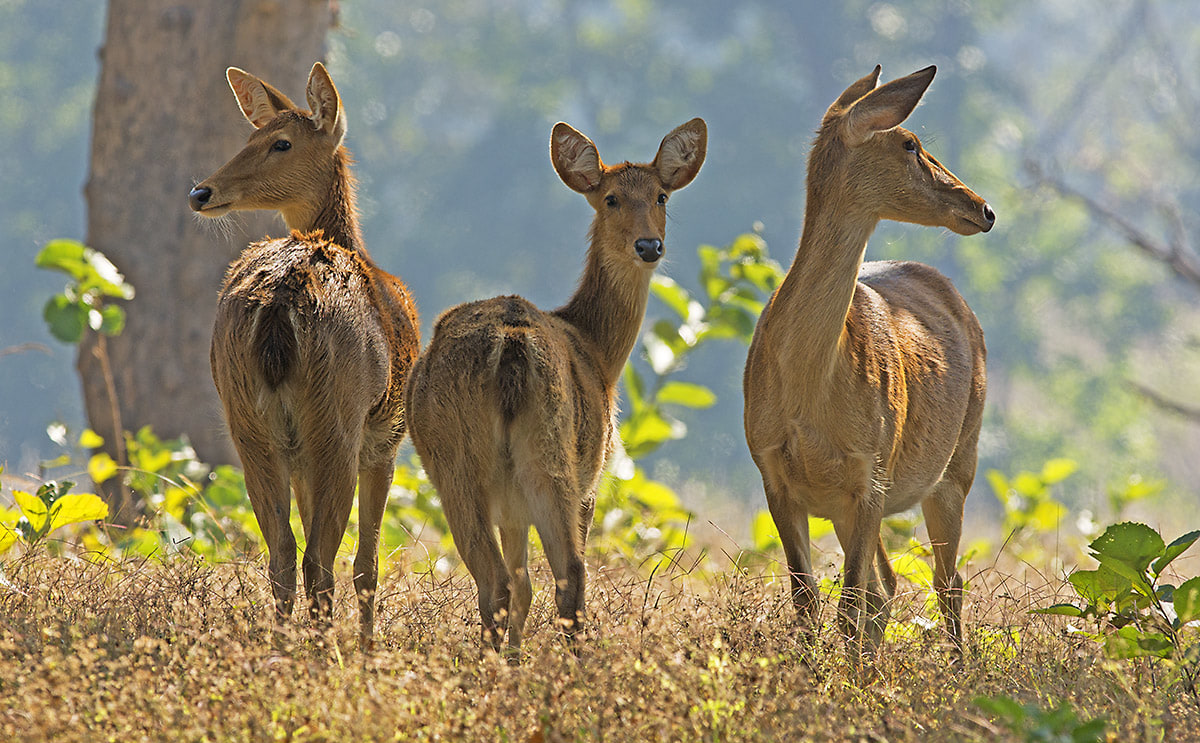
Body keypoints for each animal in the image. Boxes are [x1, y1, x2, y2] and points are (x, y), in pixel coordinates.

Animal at [187, 62, 419, 648]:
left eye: (280, 143)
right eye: (252, 138)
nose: (200, 191)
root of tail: (279, 302)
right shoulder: (388, 437)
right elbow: (368, 564)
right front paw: (367, 651)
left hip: (247, 417)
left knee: (282, 553)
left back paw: (282, 648)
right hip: (337, 417)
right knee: (320, 558)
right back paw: (319, 654)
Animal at [404, 118, 707, 656]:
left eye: (661, 195)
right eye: (610, 198)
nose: (649, 246)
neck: (598, 350)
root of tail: (511, 344)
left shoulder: (515, 504)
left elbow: (524, 582)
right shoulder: (592, 478)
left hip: (474, 465)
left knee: (513, 579)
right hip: (547, 459)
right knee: (560, 573)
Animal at [743, 65, 993, 658]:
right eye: (911, 143)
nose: (985, 208)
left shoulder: (871, 468)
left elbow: (848, 604)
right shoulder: (773, 471)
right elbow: (808, 602)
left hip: (958, 463)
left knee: (946, 581)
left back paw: (958, 666)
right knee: (891, 586)